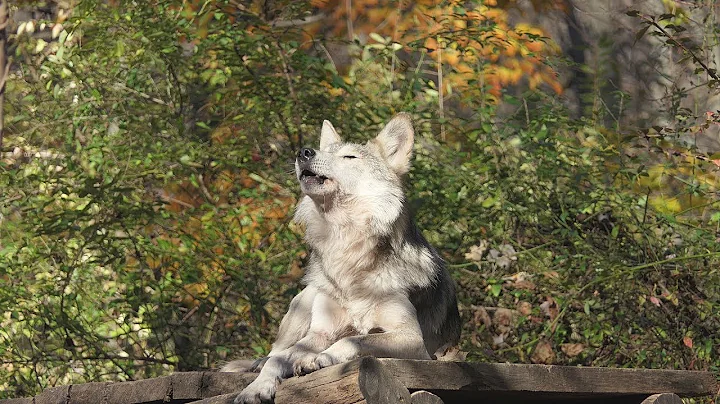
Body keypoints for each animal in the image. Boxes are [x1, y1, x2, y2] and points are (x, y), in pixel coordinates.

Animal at [222, 113, 461, 404]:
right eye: (324, 150)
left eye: (349, 157)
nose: (304, 152)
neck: (346, 248)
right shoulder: (320, 332)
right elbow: (278, 361)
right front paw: (255, 388)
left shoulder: (412, 340)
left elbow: (355, 339)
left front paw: (320, 359)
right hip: (304, 301)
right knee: (274, 350)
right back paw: (257, 364)